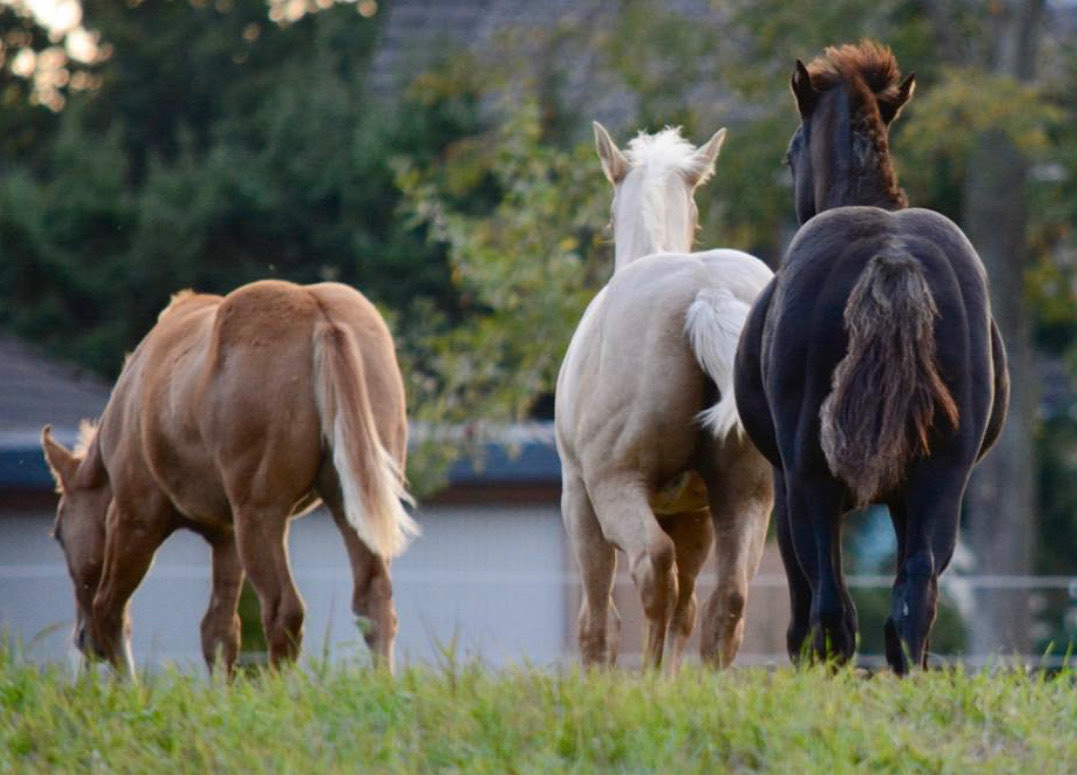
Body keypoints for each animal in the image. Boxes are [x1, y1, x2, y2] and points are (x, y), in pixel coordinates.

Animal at [40, 279, 418, 678]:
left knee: (284, 610)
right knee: (373, 601)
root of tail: (321, 318)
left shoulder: (135, 517)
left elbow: (109, 609)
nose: (83, 640)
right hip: (346, 507)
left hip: (260, 515)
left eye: (59, 534)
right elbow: (219, 631)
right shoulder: (226, 535)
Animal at [555, 123, 774, 671]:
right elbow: (688, 610)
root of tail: (707, 292)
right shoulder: (693, 514)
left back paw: (649, 678)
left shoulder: (578, 500)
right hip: (747, 497)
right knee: (726, 601)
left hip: (615, 488)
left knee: (653, 569)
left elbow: (598, 623)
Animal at [734, 42, 1009, 673]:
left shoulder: (788, 480)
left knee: (832, 606)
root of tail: (892, 256)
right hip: (942, 475)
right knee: (914, 595)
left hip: (810, 478)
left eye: (791, 153)